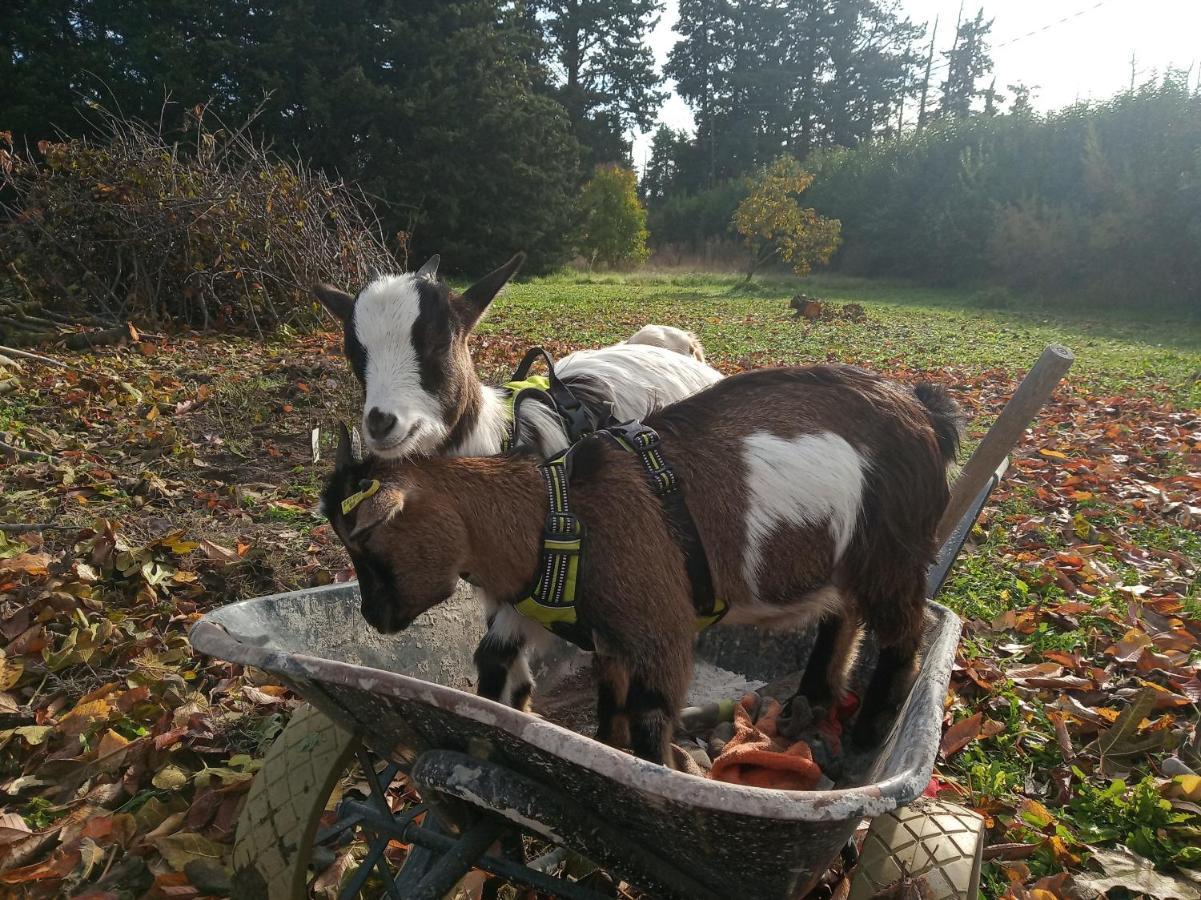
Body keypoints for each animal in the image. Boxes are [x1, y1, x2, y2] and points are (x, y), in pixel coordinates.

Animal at [324, 365, 960, 764]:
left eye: (370, 544)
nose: (374, 618)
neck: (557, 514)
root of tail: (923, 411)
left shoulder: (662, 628)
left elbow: (651, 718)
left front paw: (663, 778)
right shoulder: (610, 637)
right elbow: (608, 699)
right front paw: (603, 748)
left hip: (894, 552)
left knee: (903, 637)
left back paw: (868, 736)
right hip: (847, 561)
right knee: (843, 618)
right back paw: (813, 701)